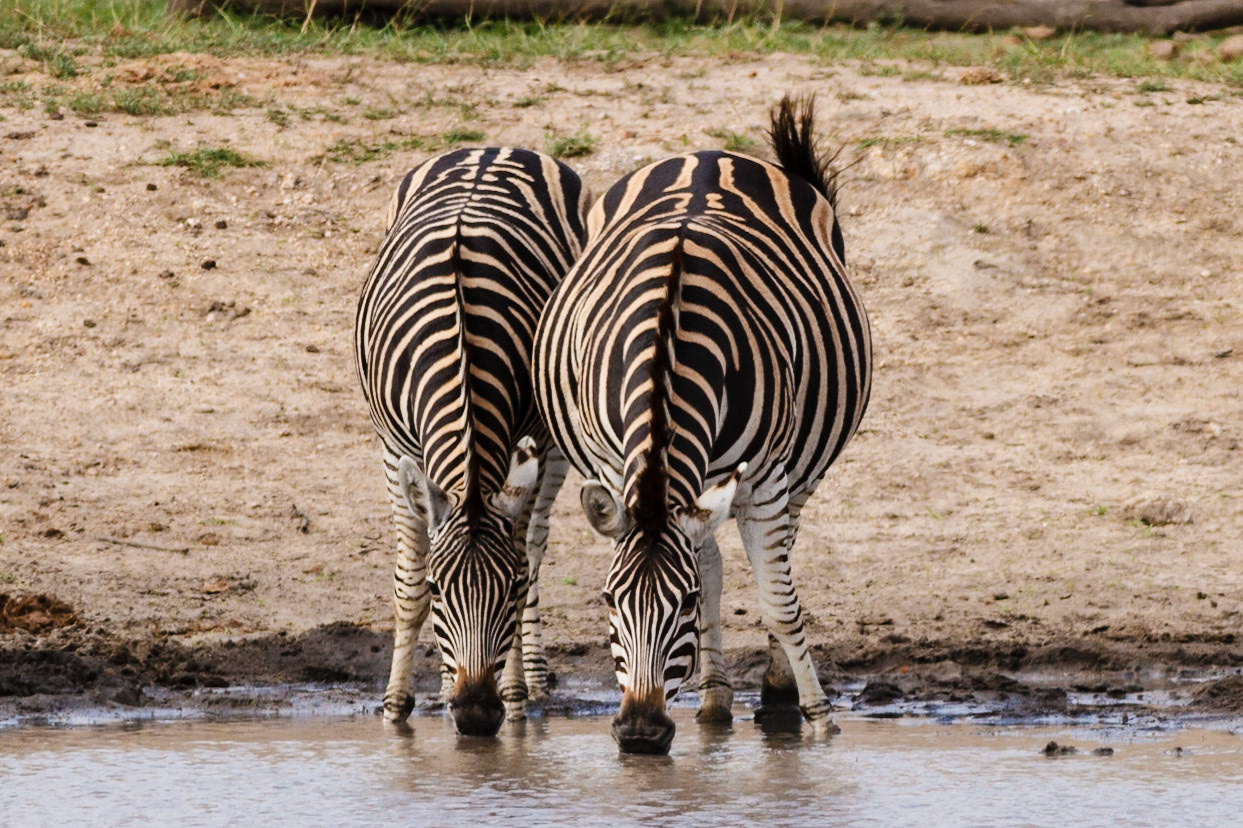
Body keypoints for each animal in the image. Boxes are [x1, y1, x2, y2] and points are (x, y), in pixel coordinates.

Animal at [355, 146, 586, 735]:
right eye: (441, 589)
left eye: (512, 590)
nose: (478, 715)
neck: (460, 345)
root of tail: (494, 147)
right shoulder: (393, 450)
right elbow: (408, 580)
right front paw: (397, 705)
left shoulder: (535, 437)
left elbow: (526, 552)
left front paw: (515, 696)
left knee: (538, 537)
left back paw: (531, 676)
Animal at [533, 96, 871, 754]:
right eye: (608, 601)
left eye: (683, 605)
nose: (640, 733)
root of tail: (710, 153)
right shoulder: (621, 469)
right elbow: (712, 571)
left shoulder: (765, 479)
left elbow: (777, 600)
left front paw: (819, 719)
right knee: (712, 557)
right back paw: (714, 699)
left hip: (801, 467)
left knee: (782, 555)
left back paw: (776, 688)